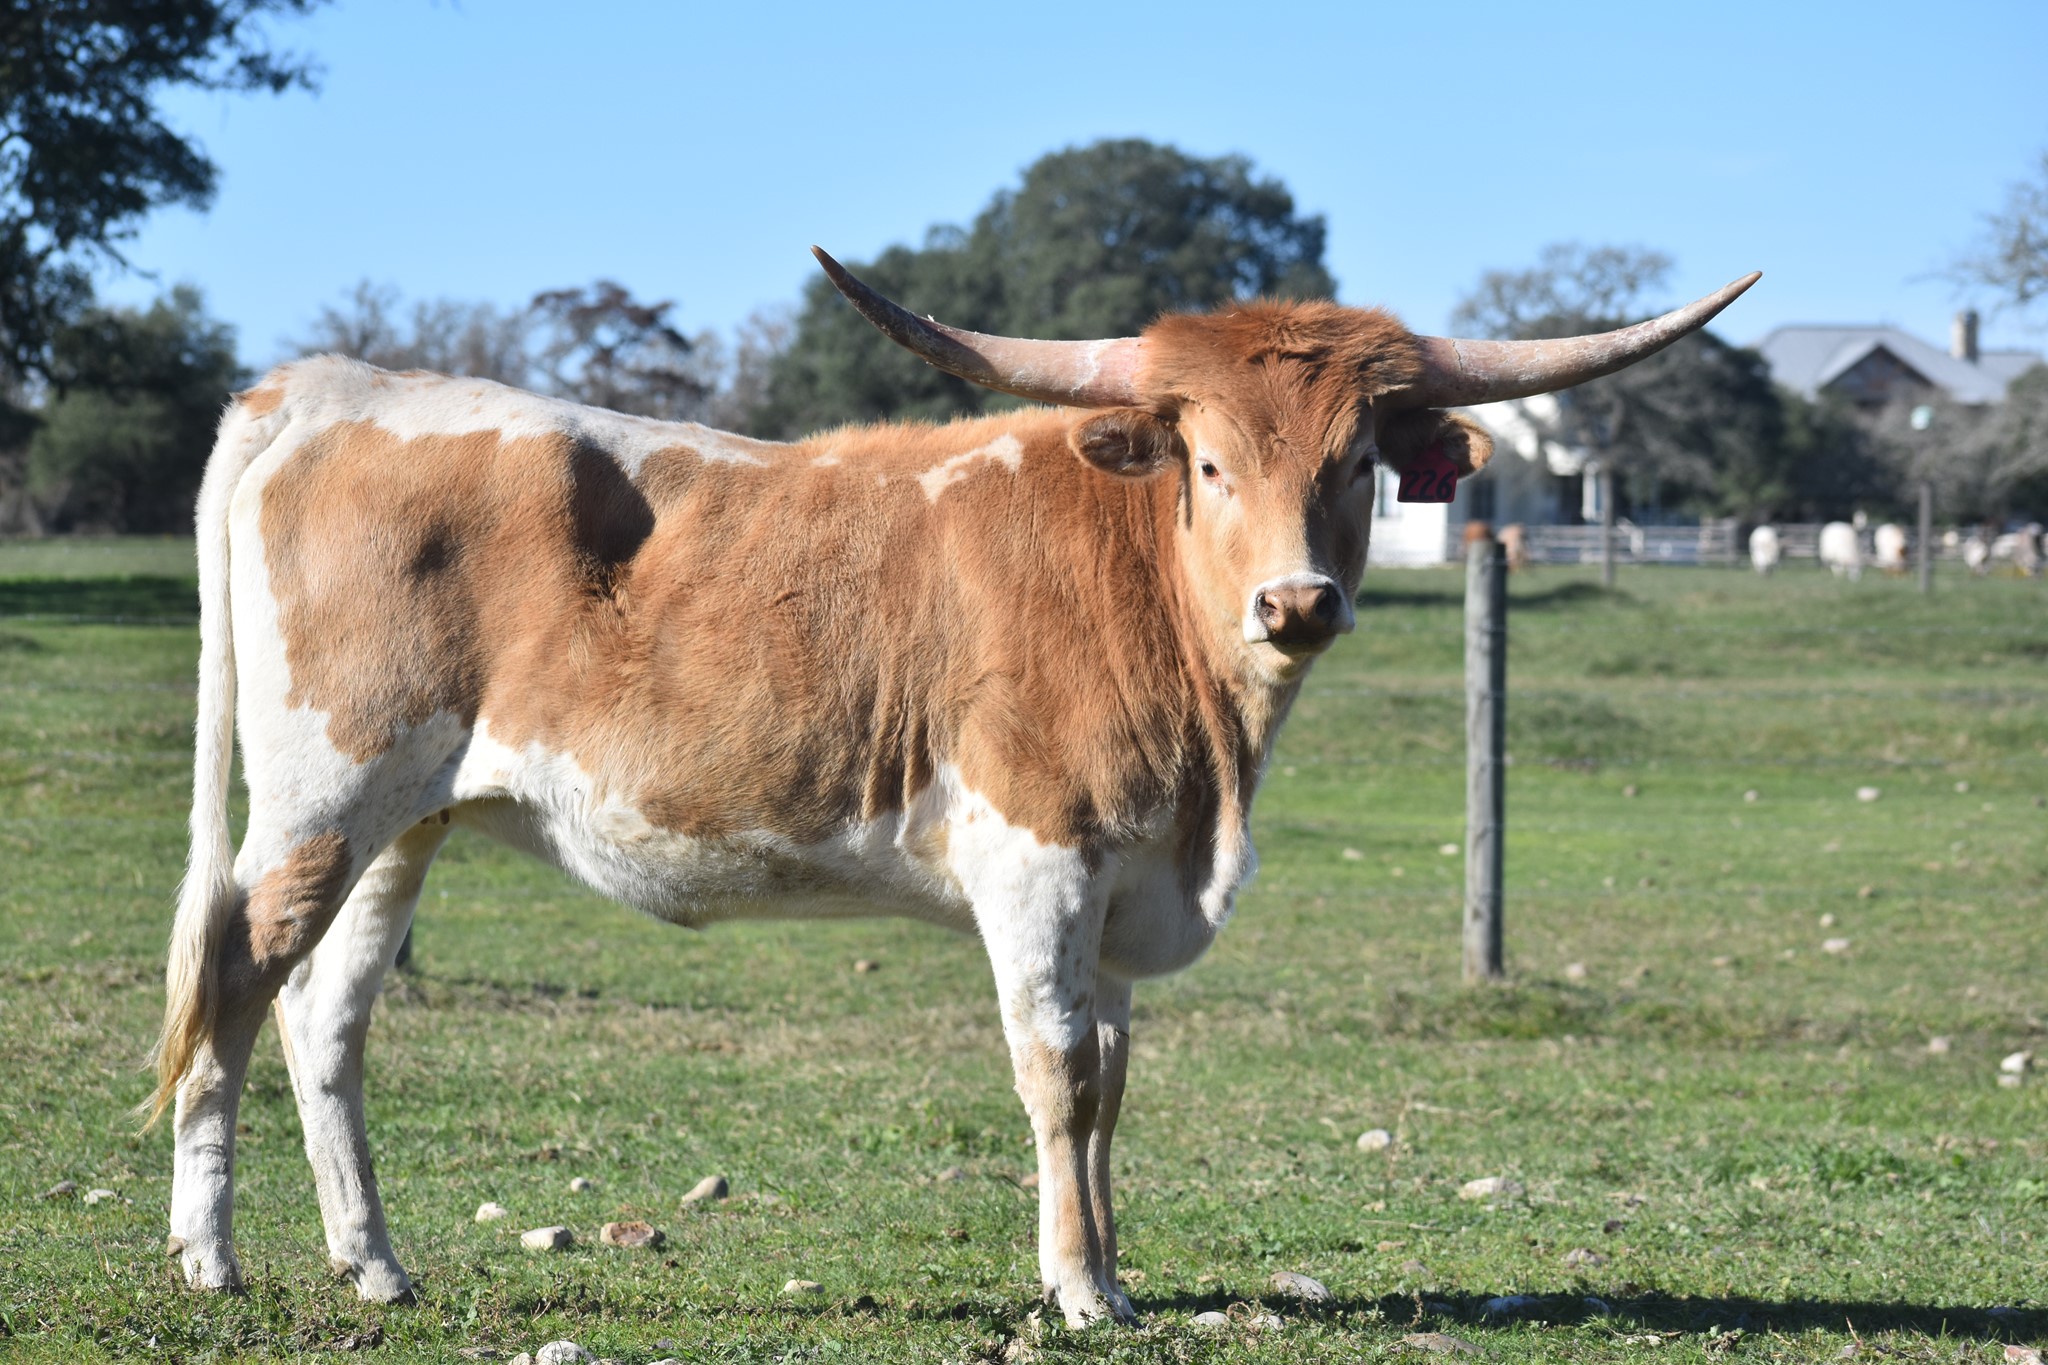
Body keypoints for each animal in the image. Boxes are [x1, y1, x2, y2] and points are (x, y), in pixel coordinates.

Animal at [147, 248, 1755, 1326]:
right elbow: (1055, 1073)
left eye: (1358, 460)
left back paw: (374, 1264)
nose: (1297, 603)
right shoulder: (1036, 859)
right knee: (233, 973)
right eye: (1209, 460)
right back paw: (210, 1255)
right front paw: (1079, 1289)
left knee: (326, 1015)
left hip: (404, 822)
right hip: (324, 794)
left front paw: (1113, 1268)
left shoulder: (1122, 889)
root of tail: (325, 385)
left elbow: (1111, 1082)